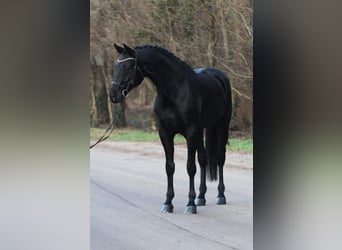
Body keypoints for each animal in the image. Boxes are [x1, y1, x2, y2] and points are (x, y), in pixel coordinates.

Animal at [109, 44, 232, 213]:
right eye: (116, 66)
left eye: (128, 67)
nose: (113, 95)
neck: (175, 90)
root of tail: (220, 76)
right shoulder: (165, 133)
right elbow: (170, 167)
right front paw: (168, 203)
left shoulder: (190, 132)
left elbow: (190, 167)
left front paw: (190, 204)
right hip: (200, 132)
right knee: (203, 158)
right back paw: (201, 197)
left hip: (221, 125)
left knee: (220, 157)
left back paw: (220, 195)